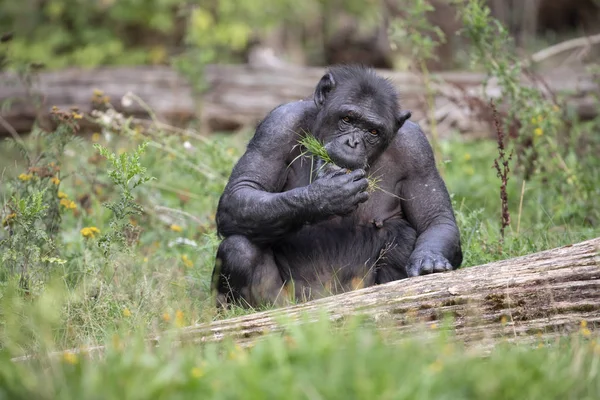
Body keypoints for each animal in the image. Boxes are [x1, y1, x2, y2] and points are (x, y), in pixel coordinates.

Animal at [212, 65, 464, 310]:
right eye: (347, 119)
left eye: (373, 131)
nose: (353, 142)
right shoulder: (276, 127)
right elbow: (242, 189)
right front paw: (326, 196)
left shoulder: (418, 151)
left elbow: (435, 219)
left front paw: (429, 261)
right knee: (239, 247)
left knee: (405, 235)